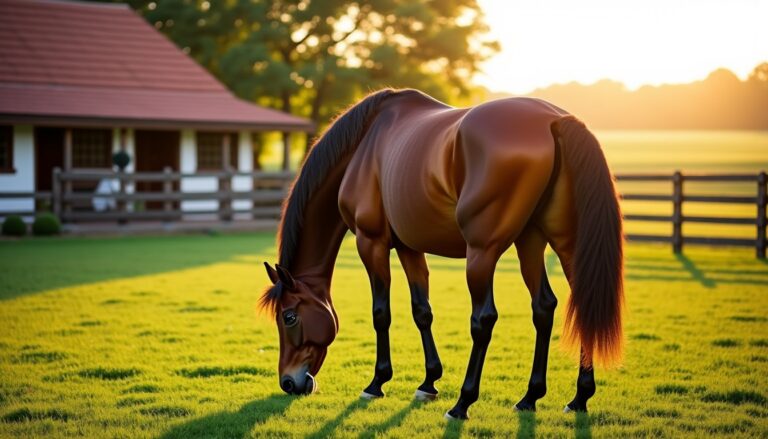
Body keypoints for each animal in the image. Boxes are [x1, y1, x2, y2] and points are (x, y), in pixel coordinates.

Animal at [260, 88, 624, 420]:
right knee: (555, 306)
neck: (362, 149)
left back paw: (463, 403)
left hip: (483, 252)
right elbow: (422, 310)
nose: (289, 383)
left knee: (484, 319)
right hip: (540, 241)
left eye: (289, 316)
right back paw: (555, 397)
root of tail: (554, 120)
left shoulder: (371, 242)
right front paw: (428, 382)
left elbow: (381, 313)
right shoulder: (408, 246)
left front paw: (377, 382)